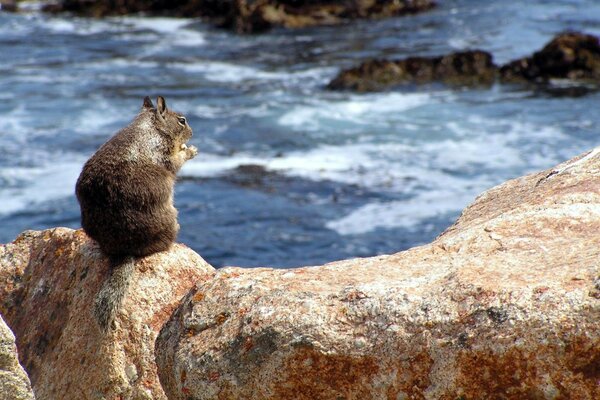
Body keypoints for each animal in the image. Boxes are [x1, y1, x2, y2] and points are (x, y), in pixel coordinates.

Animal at [76, 97, 198, 332]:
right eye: (182, 120)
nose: (192, 132)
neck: (151, 126)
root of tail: (124, 249)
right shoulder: (164, 152)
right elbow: (176, 161)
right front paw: (190, 150)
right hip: (170, 218)